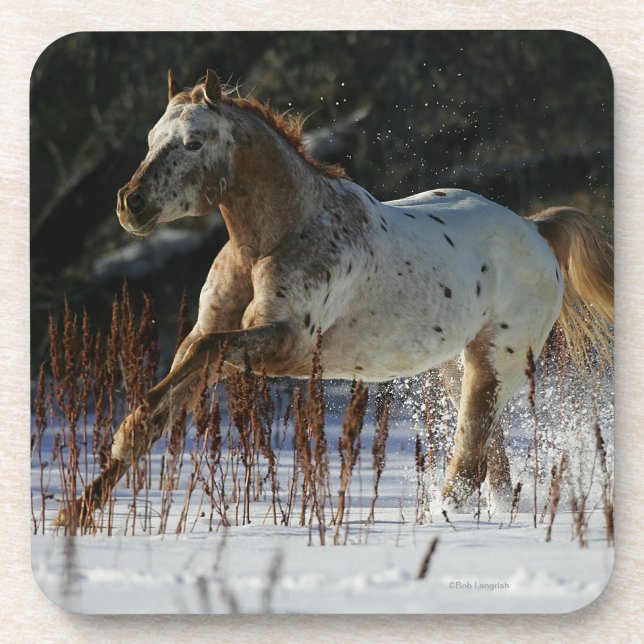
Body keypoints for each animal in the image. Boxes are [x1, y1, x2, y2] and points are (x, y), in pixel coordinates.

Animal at [54, 69, 613, 528]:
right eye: (152, 139)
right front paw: (73, 515)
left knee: (470, 460)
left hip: (497, 364)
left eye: (193, 142)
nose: (131, 204)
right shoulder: (208, 334)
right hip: (458, 367)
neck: (276, 237)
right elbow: (161, 408)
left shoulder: (284, 346)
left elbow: (199, 361)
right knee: (489, 461)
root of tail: (536, 229)